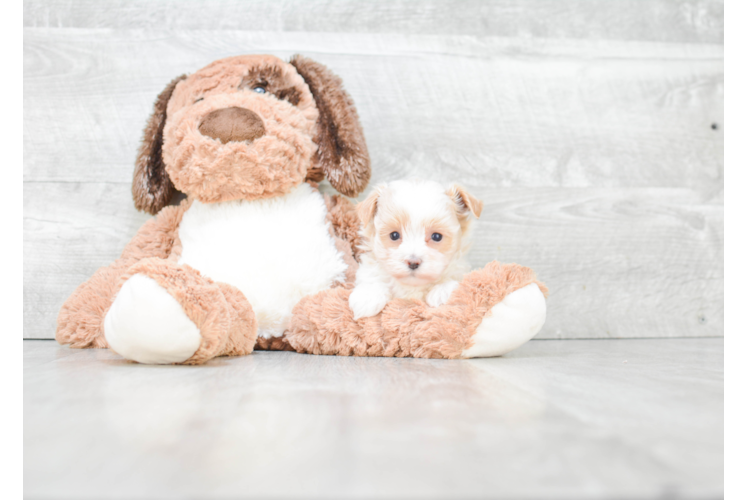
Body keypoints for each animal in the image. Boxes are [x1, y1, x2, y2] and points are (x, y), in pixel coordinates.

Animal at [350, 180, 486, 320]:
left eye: (436, 236)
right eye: (394, 235)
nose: (413, 262)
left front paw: (441, 292)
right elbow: (372, 279)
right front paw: (368, 297)